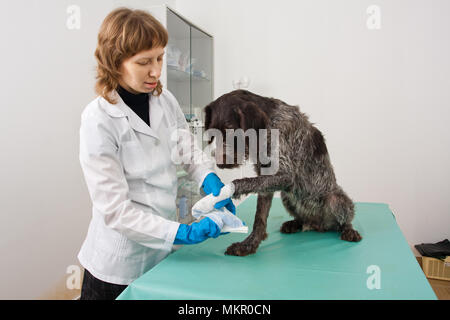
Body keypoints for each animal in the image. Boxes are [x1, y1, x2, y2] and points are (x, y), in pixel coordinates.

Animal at [205, 90, 362, 258]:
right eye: (213, 133)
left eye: (231, 130)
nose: (219, 162)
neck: (268, 127)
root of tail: (318, 225)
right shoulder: (265, 179)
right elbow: (259, 218)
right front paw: (249, 245)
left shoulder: (285, 175)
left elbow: (242, 182)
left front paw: (228, 190)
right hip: (288, 196)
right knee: (301, 217)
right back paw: (295, 223)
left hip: (335, 199)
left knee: (344, 220)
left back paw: (349, 230)